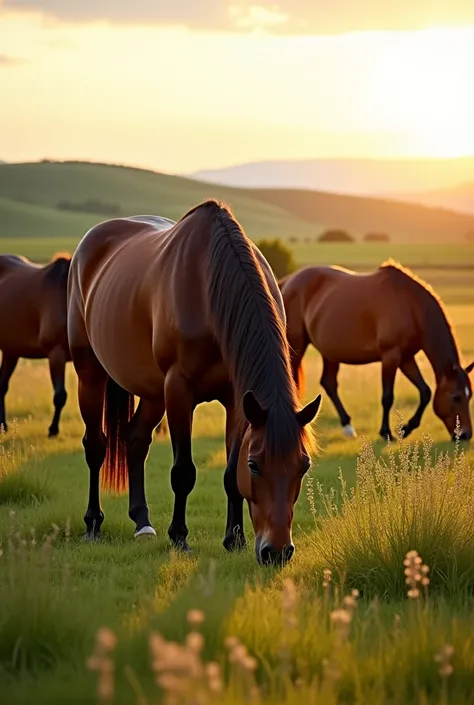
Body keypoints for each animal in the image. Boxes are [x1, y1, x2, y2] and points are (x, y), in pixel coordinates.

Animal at [0, 250, 71, 438]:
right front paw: (53, 430)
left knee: (2, 385)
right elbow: (60, 396)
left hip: (11, 351)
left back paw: (3, 425)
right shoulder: (56, 353)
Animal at [66, 201, 320, 564]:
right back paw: (93, 523)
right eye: (255, 466)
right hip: (91, 373)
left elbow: (229, 474)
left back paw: (142, 523)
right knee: (96, 446)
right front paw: (179, 537)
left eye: (304, 466)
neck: (209, 288)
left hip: (153, 393)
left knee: (135, 440)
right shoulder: (179, 390)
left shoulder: (238, 399)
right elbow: (183, 471)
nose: (277, 552)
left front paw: (234, 539)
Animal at [280, 262, 472, 442]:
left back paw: (348, 427)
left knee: (329, 383)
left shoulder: (406, 358)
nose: (465, 435)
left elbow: (425, 392)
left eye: (469, 395)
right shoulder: (390, 356)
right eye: (455, 397)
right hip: (297, 344)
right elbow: (387, 397)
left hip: (330, 353)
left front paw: (406, 428)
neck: (410, 305)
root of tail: (287, 282)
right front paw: (386, 433)